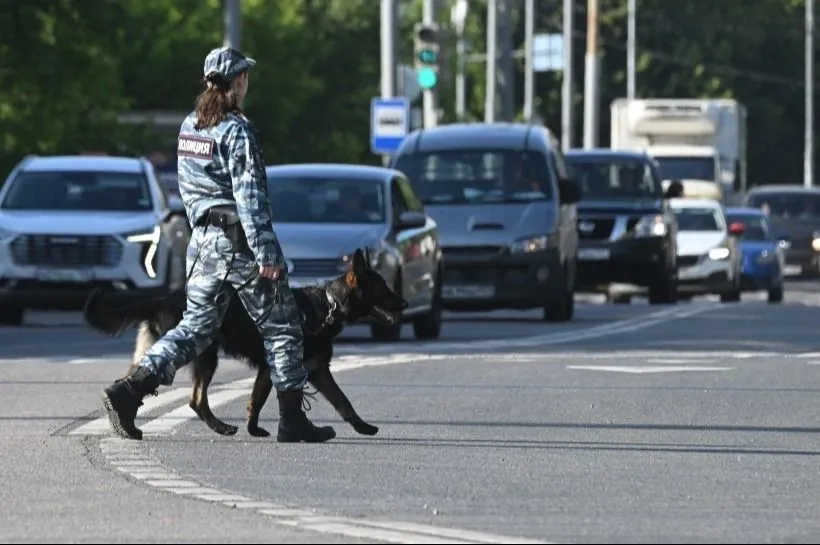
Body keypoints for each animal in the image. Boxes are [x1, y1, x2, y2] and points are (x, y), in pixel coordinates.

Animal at [81, 249, 408, 436]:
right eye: (382, 288)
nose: (405, 303)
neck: (329, 305)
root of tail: (162, 298)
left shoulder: (313, 371)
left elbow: (341, 402)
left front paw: (363, 427)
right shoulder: (281, 366)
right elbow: (262, 399)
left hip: (164, 352)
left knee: (139, 380)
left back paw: (123, 418)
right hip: (204, 355)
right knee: (196, 399)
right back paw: (217, 427)